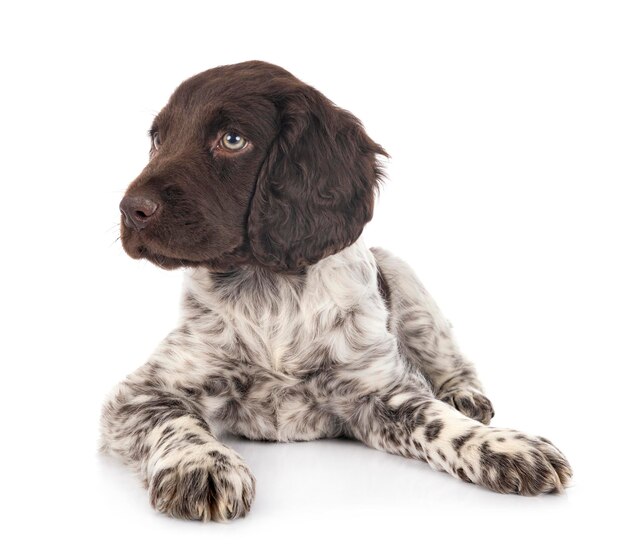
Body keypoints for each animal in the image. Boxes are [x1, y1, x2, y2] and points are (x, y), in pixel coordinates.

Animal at [101, 61, 572, 520]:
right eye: (158, 139)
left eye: (232, 139)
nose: (130, 210)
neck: (268, 292)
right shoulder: (143, 391)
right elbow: (175, 422)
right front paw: (200, 464)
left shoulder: (380, 392)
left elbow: (436, 418)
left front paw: (503, 446)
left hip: (408, 286)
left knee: (452, 360)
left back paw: (464, 395)